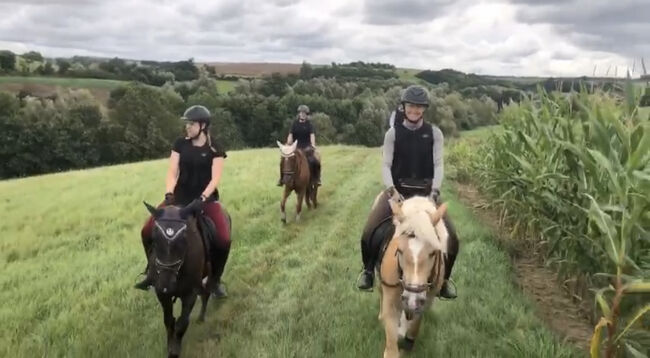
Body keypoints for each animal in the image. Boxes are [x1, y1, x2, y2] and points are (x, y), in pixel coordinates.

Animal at [142, 201, 215, 358]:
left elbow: (182, 323)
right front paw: (170, 346)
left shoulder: (190, 294)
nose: (167, 285)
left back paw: (201, 317)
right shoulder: (162, 294)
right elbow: (169, 321)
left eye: (184, 241)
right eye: (154, 240)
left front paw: (175, 351)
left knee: (206, 292)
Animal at [374, 194, 446, 356]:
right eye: (399, 251)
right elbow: (391, 346)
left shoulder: (425, 302)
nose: (413, 299)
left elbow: (414, 326)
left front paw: (407, 342)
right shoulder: (391, 305)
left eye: (433, 253)